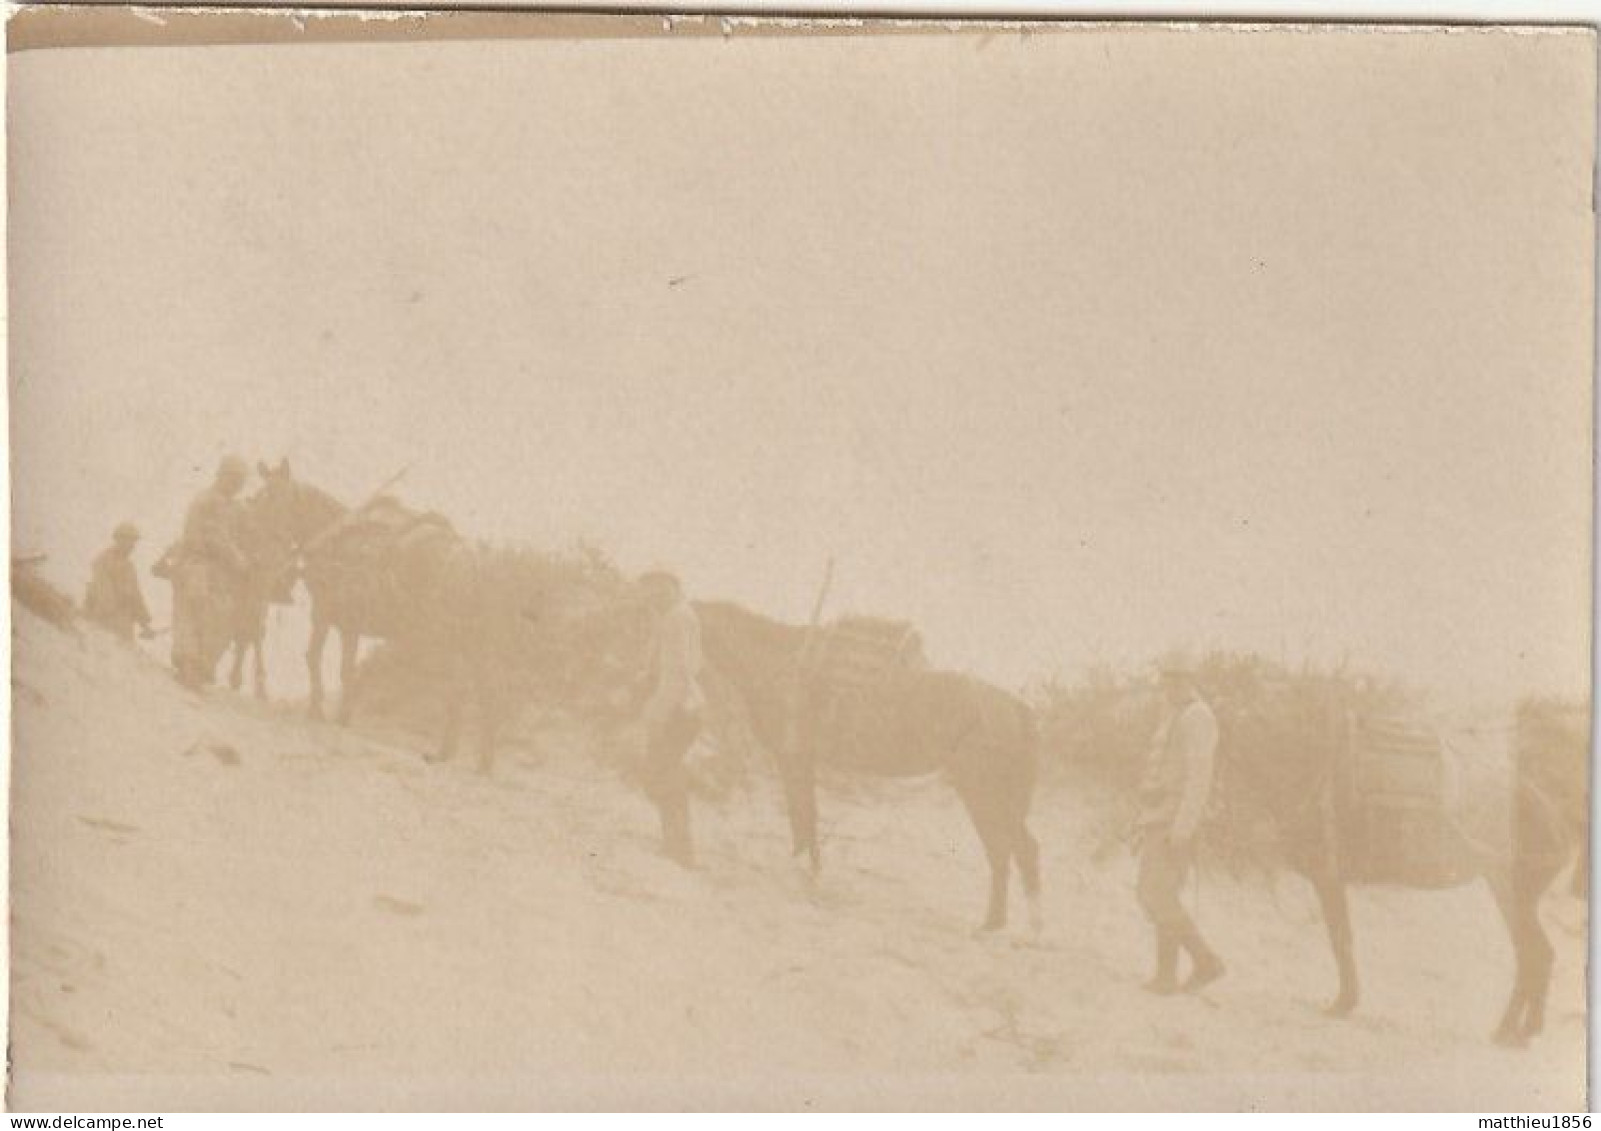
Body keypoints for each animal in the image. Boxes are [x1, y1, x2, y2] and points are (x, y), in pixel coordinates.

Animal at [249, 458, 505, 765]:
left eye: (274, 498)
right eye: (259, 496)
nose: (251, 535)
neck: (334, 539)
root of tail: (472, 559)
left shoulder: (323, 614)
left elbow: (315, 658)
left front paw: (318, 711)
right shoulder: (349, 626)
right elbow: (346, 670)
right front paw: (342, 716)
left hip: (451, 637)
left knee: (460, 687)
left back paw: (447, 751)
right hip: (476, 641)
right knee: (487, 689)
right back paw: (483, 761)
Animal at [698, 599, 1043, 922]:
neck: (775, 662)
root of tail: (1015, 707)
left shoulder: (791, 757)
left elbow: (800, 813)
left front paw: (798, 868)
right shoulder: (803, 758)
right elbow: (808, 815)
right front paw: (812, 872)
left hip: (982, 791)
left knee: (1005, 850)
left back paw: (996, 926)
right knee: (1020, 849)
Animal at [1223, 679, 1588, 1038]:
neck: (1308, 762)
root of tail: (1554, 816)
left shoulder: (1329, 878)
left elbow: (1341, 941)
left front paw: (1343, 1003)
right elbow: (1344, 939)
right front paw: (1347, 1001)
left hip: (1511, 891)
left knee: (1535, 954)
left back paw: (1512, 1031)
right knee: (1536, 955)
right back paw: (1524, 1028)